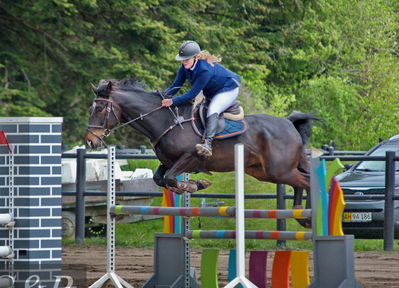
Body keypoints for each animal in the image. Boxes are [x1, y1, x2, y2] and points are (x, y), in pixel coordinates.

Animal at [86, 78, 322, 227]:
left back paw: (310, 217)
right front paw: (194, 184)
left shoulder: (191, 157)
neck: (166, 121)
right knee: (300, 182)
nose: (90, 141)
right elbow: (160, 179)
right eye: (91, 108)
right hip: (265, 172)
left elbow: (169, 178)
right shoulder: (168, 161)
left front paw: (194, 184)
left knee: (307, 181)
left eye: (100, 109)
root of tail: (289, 124)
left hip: (278, 170)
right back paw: (301, 214)